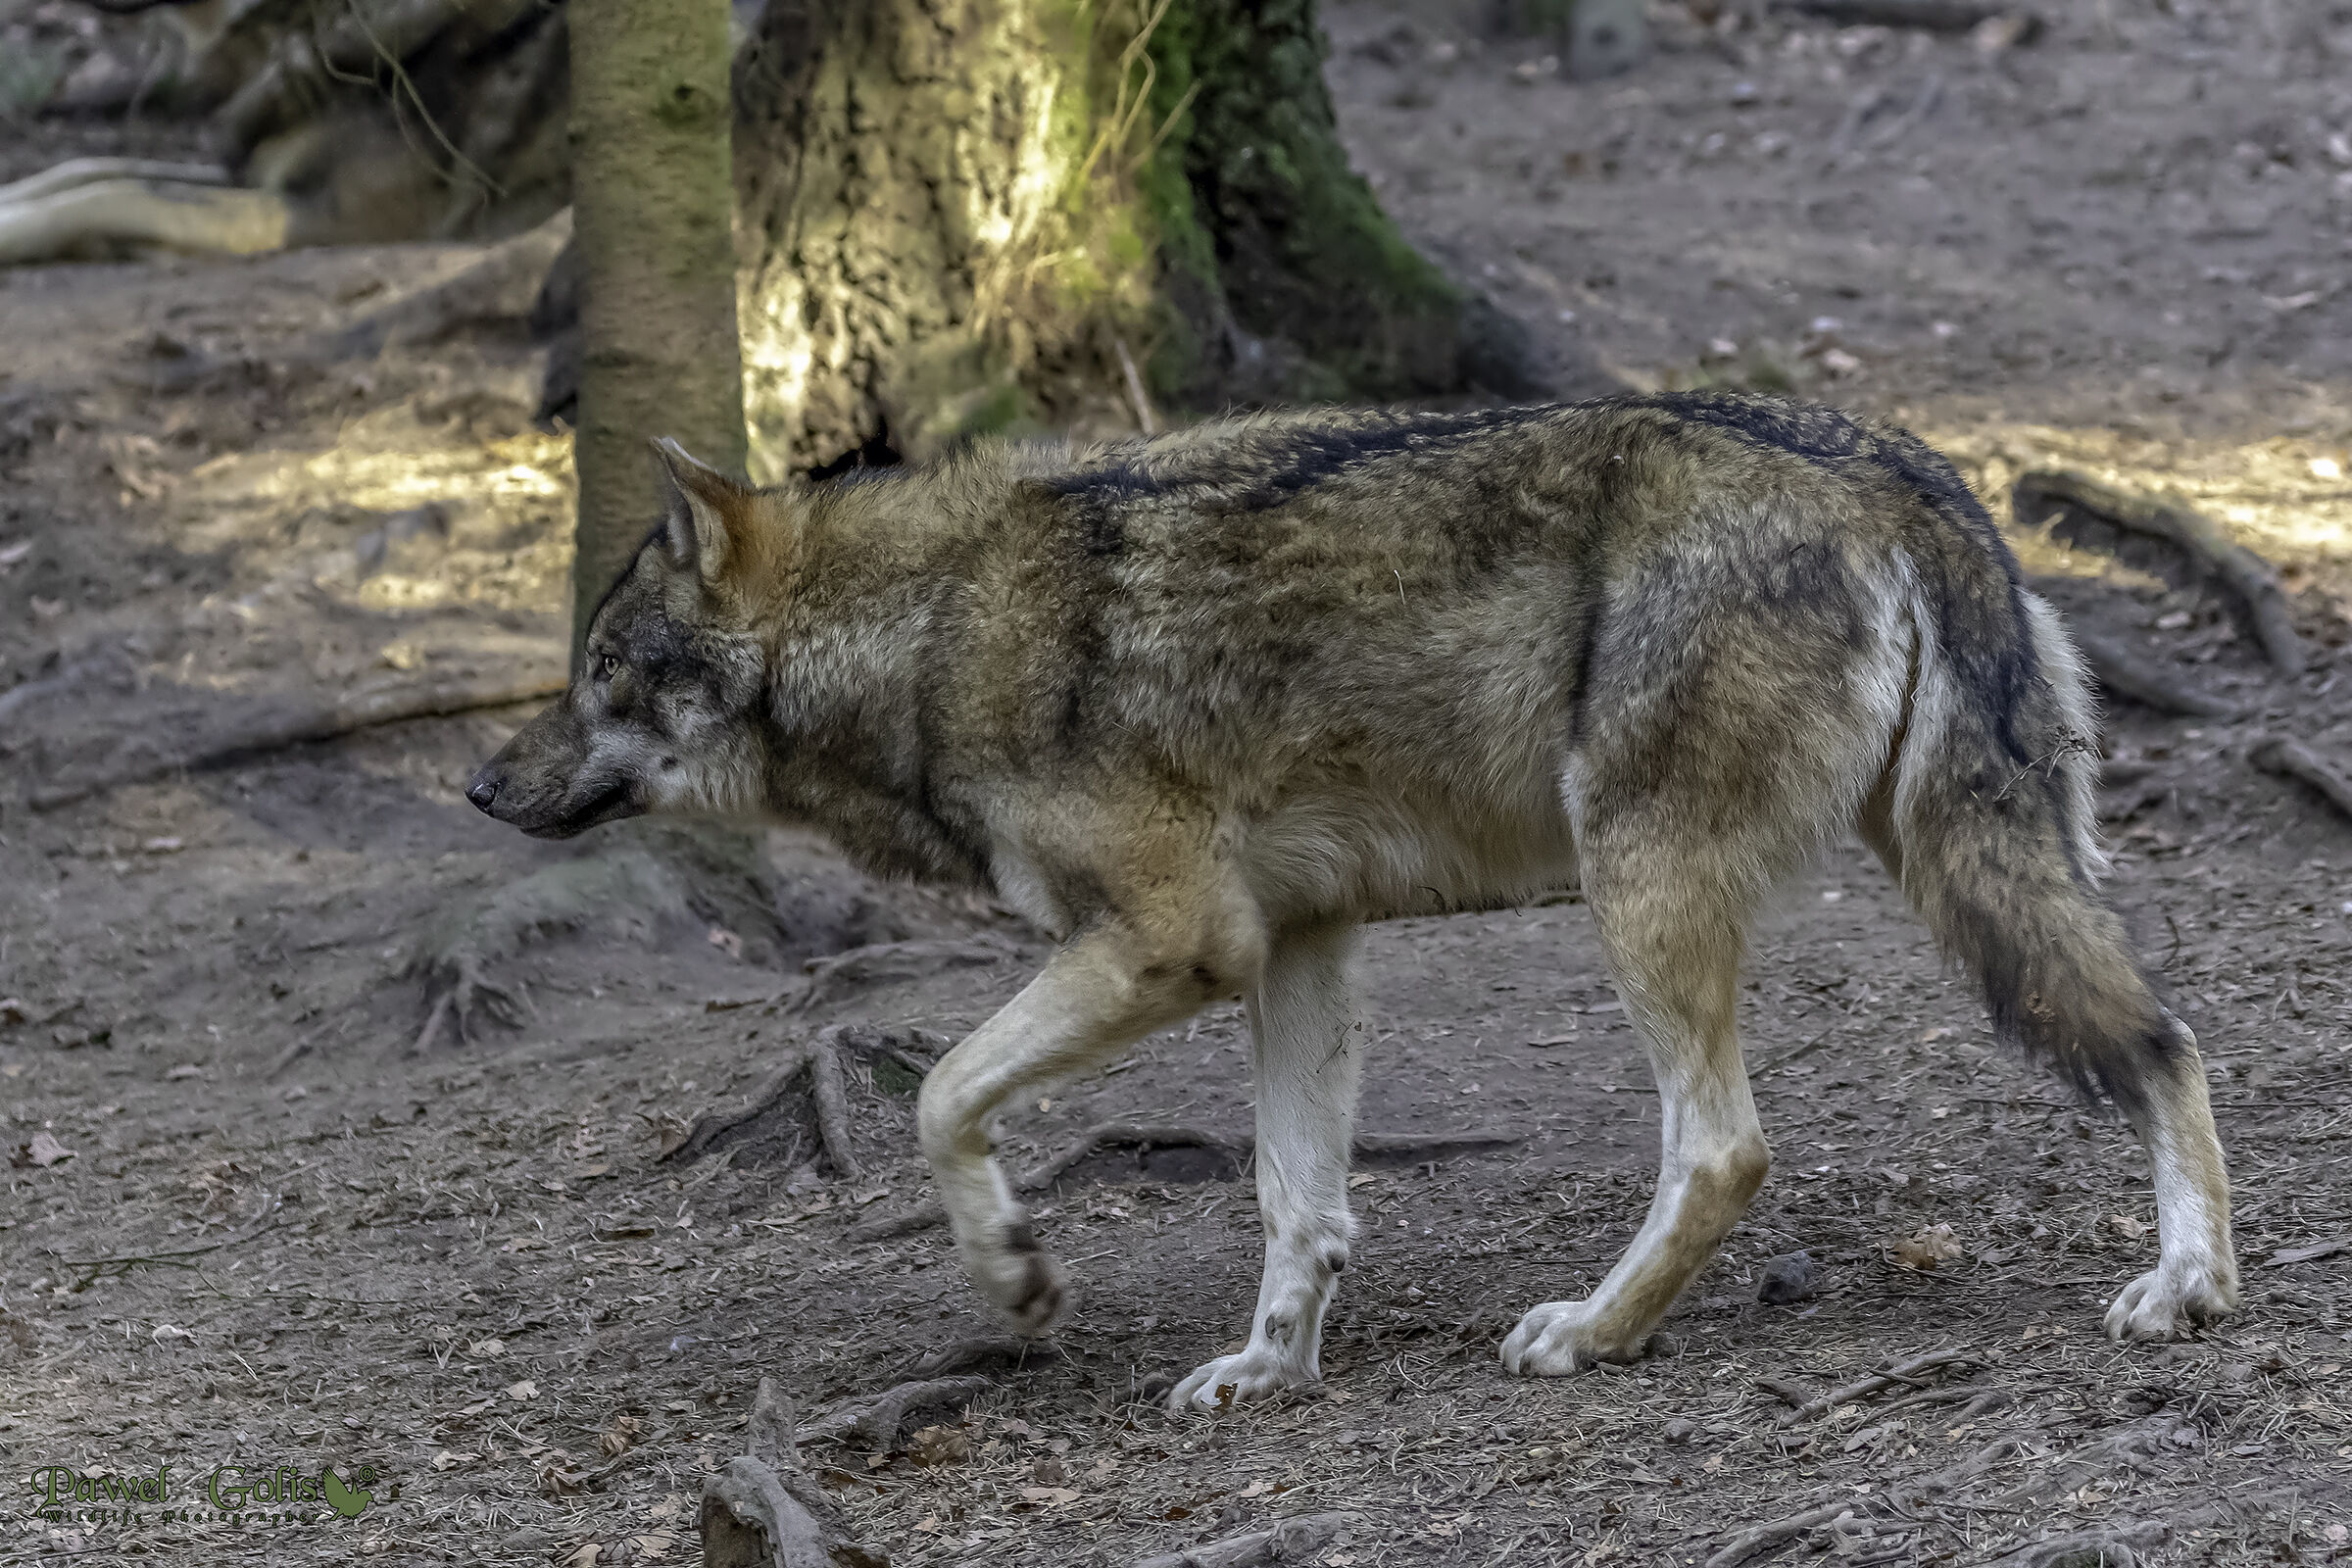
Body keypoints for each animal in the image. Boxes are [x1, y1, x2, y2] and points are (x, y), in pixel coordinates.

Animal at [466, 393, 2237, 1410]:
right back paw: (2193, 1285)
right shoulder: (1300, 945)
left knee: (1726, 1149)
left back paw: (1592, 1336)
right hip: (1961, 870)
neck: (927, 632)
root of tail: (1911, 473)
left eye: (601, 676)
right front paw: (1271, 1366)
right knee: (2165, 1040)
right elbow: (1295, 1202)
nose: (481, 788)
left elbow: (942, 1100)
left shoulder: (1176, 945)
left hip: (1647, 891)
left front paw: (1019, 1278)